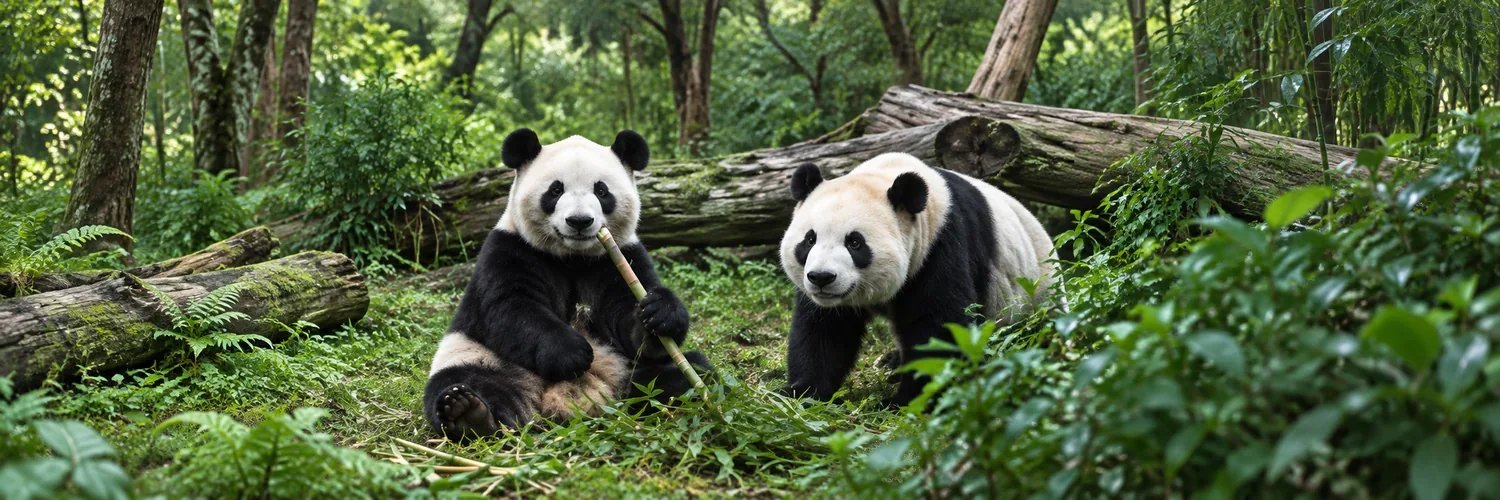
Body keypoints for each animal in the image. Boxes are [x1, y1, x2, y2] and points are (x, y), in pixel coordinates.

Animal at [423, 128, 710, 439]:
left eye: (601, 191)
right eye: (555, 190)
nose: (579, 221)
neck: (572, 257)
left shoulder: (617, 258)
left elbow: (628, 321)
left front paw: (660, 313)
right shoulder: (510, 249)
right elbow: (511, 309)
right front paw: (573, 353)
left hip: (628, 368)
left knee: (683, 373)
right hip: (479, 355)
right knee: (466, 380)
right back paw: (468, 414)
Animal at [778, 152, 1056, 406]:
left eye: (855, 243)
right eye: (810, 239)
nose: (822, 278)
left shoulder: (941, 246)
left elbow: (937, 325)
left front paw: (905, 400)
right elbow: (825, 330)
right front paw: (801, 391)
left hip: (1032, 304)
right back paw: (891, 362)